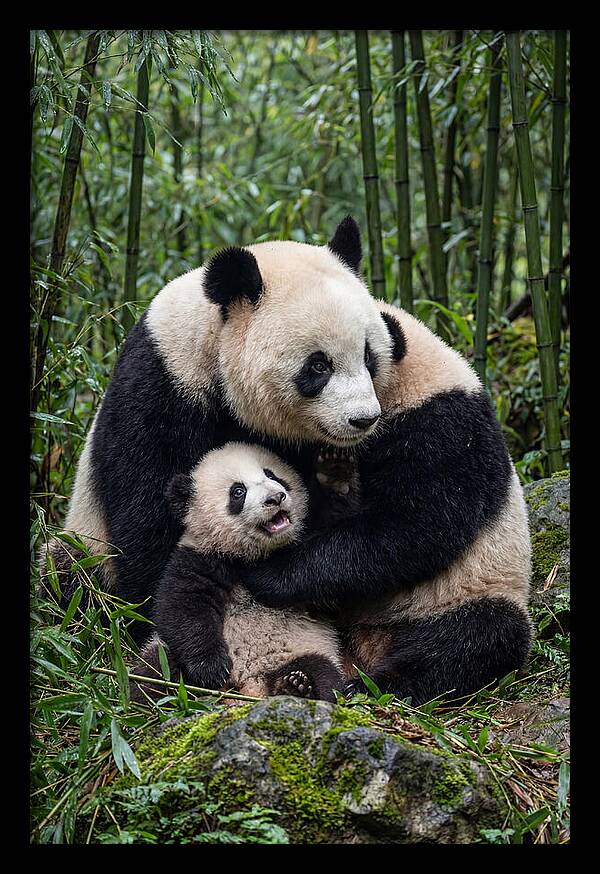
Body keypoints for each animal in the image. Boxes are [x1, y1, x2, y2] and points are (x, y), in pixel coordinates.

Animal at [131, 442, 345, 703]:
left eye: (272, 476)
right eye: (238, 492)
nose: (275, 498)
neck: (250, 554)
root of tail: (249, 684)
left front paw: (334, 474)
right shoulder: (199, 557)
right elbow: (183, 607)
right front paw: (211, 669)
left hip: (304, 648)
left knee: (323, 673)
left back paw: (297, 686)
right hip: (163, 653)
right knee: (153, 672)